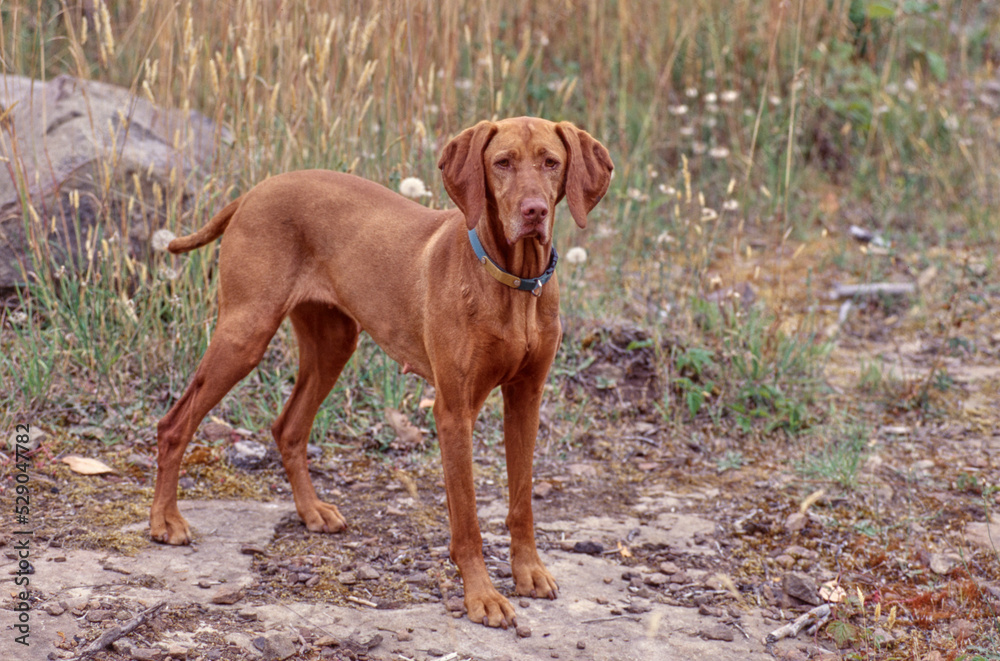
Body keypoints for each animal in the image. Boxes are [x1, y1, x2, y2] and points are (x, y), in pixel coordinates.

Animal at [151, 116, 612, 628]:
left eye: (551, 162)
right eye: (502, 163)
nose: (534, 212)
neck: (513, 281)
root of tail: (255, 191)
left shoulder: (526, 398)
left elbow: (522, 501)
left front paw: (528, 570)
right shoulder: (454, 412)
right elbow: (467, 519)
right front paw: (482, 595)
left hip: (334, 343)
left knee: (288, 427)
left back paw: (311, 511)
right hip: (245, 334)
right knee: (174, 423)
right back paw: (165, 521)